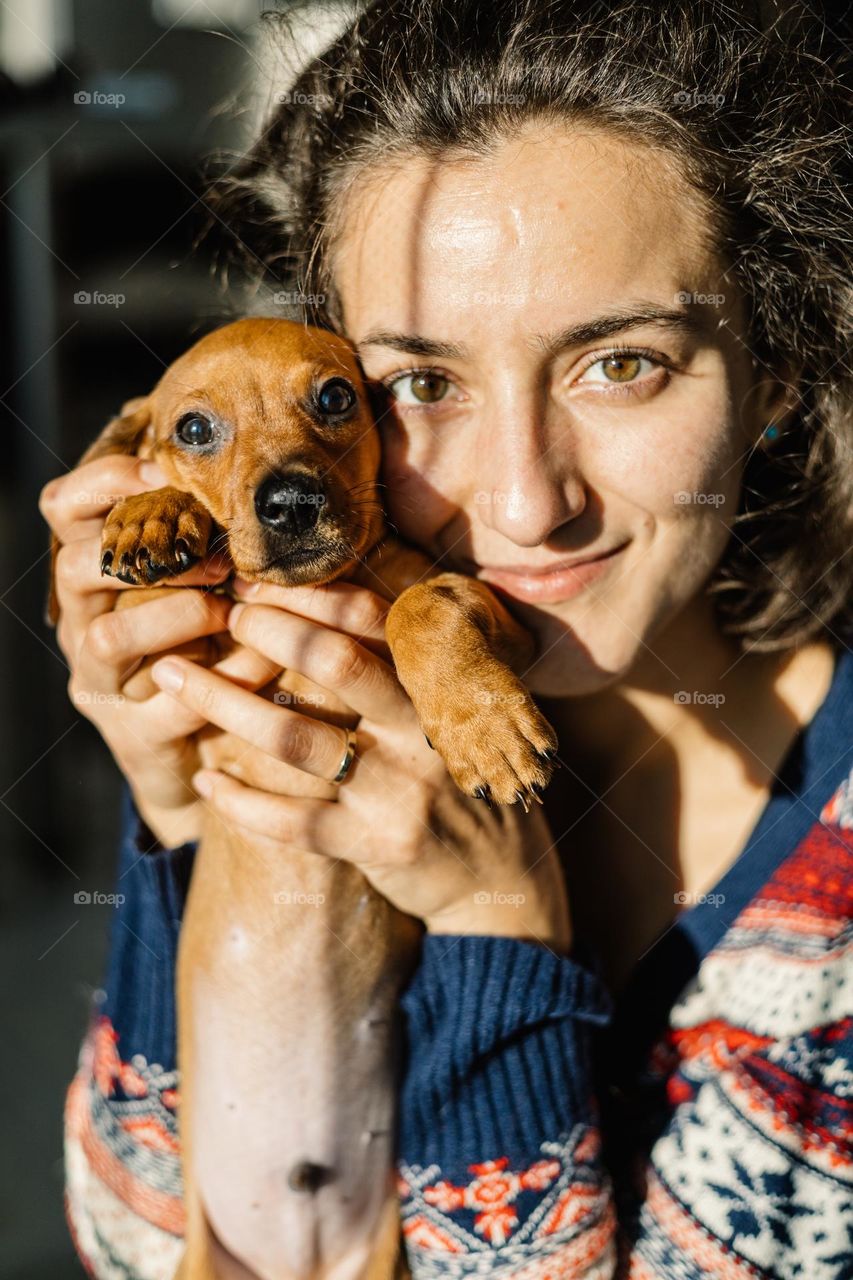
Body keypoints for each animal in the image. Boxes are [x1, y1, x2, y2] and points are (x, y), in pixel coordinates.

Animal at [53, 317, 558, 1280]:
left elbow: (422, 605)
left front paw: (480, 723)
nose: (287, 503)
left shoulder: (503, 619)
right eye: (192, 430)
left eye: (334, 397)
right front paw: (150, 510)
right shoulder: (188, 663)